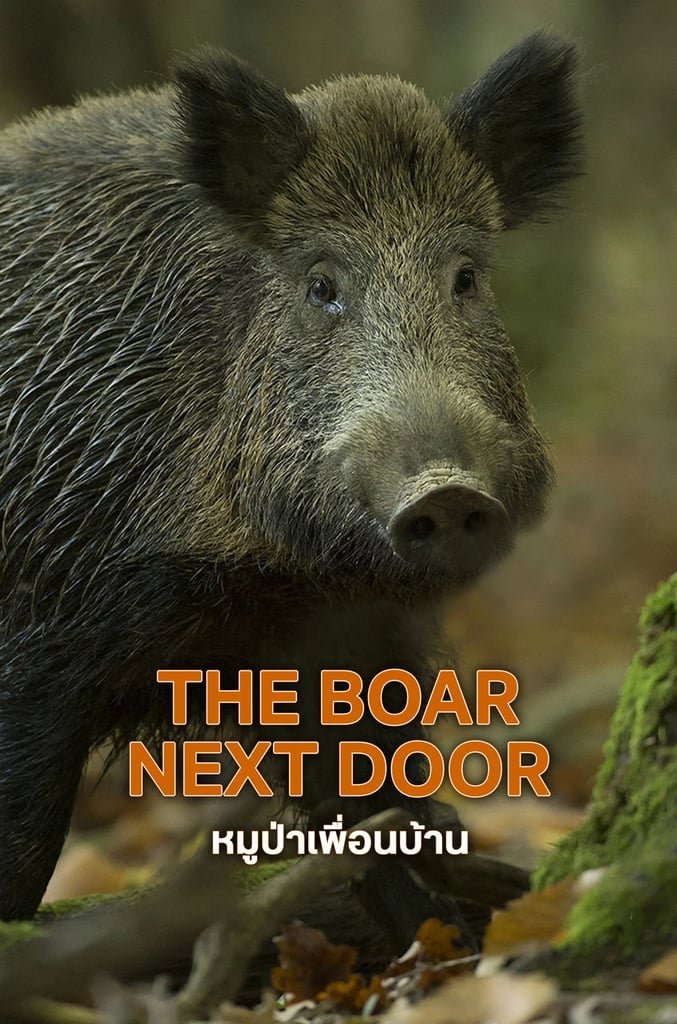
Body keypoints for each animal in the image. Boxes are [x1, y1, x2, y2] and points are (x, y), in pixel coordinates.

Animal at [0, 32, 581, 924]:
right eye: (320, 284)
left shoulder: (348, 642)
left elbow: (373, 800)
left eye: (466, 277)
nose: (446, 491)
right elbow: (20, 857)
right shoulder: (37, 644)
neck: (267, 582)